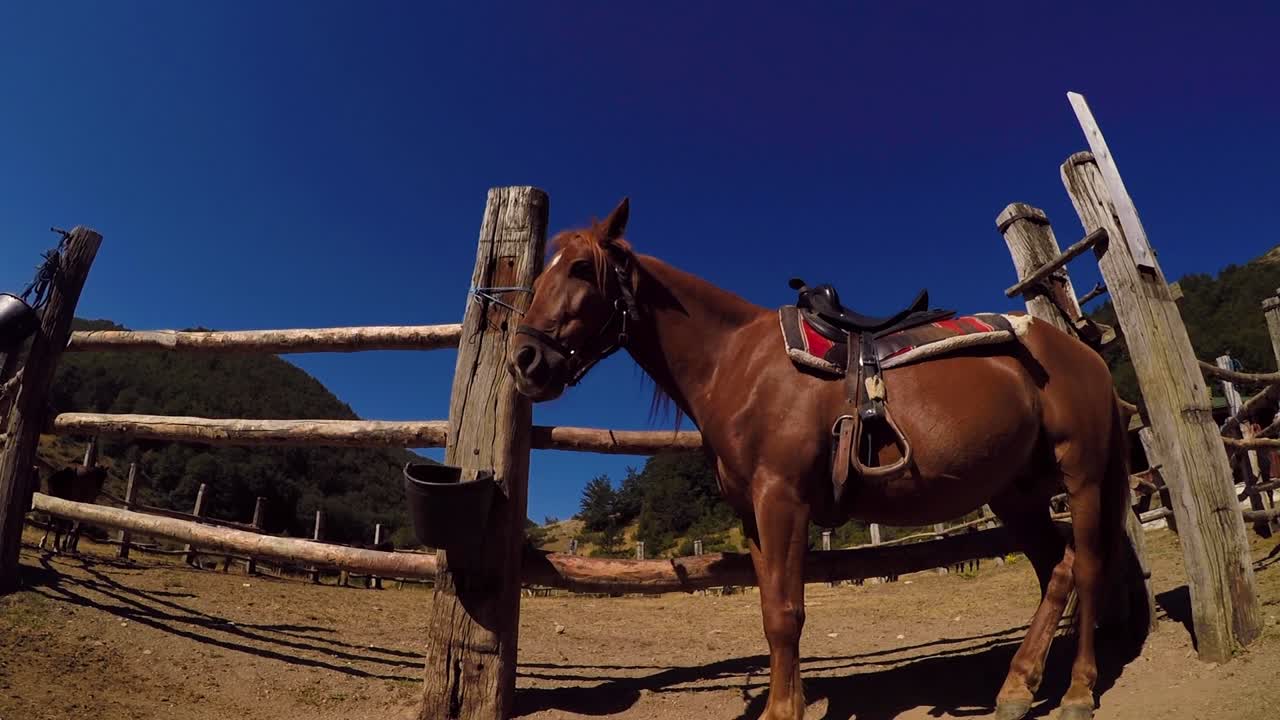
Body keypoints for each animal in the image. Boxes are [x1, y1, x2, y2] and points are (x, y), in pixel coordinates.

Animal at [507, 199, 1133, 720]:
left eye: (581, 269)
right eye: (540, 276)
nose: (525, 360)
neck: (739, 362)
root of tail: (1081, 353)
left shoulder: (783, 499)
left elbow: (788, 614)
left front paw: (786, 713)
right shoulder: (753, 515)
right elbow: (771, 611)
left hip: (1081, 476)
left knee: (1088, 566)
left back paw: (1077, 692)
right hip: (1014, 492)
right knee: (1056, 568)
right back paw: (1017, 688)